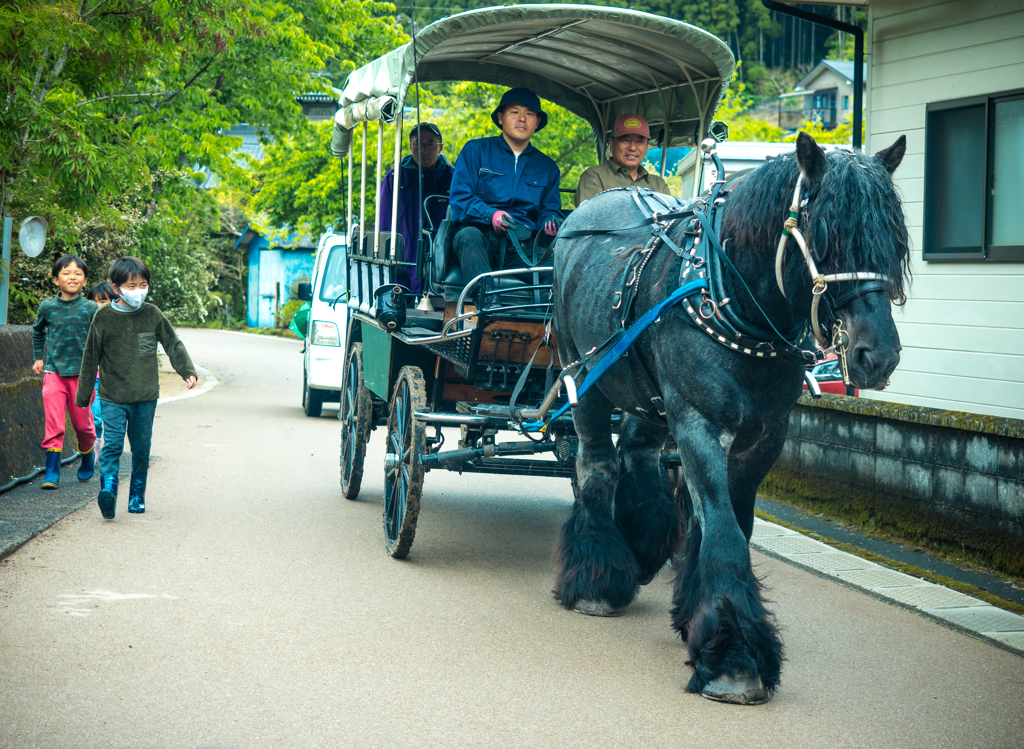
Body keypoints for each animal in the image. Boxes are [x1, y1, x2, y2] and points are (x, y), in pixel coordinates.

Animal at [557, 133, 909, 704]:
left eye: (895, 240)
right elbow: (723, 531)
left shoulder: (765, 434)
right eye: (826, 236)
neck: (735, 300)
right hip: (584, 375)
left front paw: (697, 616)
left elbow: (730, 523)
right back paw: (596, 575)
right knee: (597, 465)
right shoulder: (698, 421)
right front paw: (734, 659)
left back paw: (645, 541)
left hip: (650, 393)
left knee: (637, 450)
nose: (877, 356)